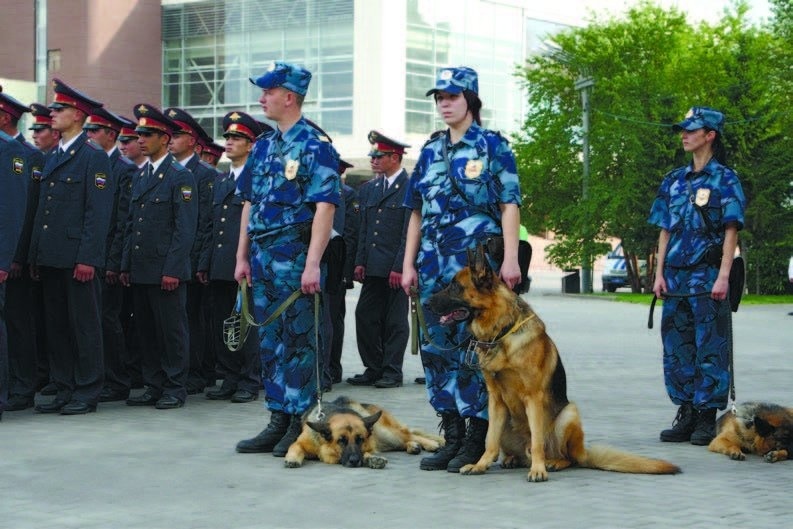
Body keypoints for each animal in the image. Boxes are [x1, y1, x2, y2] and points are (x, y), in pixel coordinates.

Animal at [282, 394, 442, 468]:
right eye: (341, 441)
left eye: (360, 439)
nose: (354, 461)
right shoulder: (301, 442)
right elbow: (294, 447)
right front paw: (292, 458)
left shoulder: (367, 445)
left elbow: (366, 452)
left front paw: (372, 459)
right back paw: (413, 446)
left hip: (387, 434)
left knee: (409, 434)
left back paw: (430, 443)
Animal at [426, 245, 680, 480]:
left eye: (455, 287)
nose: (427, 302)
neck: (502, 332)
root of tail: (585, 453)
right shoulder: (495, 400)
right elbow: (490, 442)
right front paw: (480, 465)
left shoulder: (533, 398)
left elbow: (537, 441)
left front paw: (538, 470)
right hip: (506, 421)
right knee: (512, 449)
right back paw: (511, 459)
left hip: (569, 414)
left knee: (565, 456)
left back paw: (552, 462)